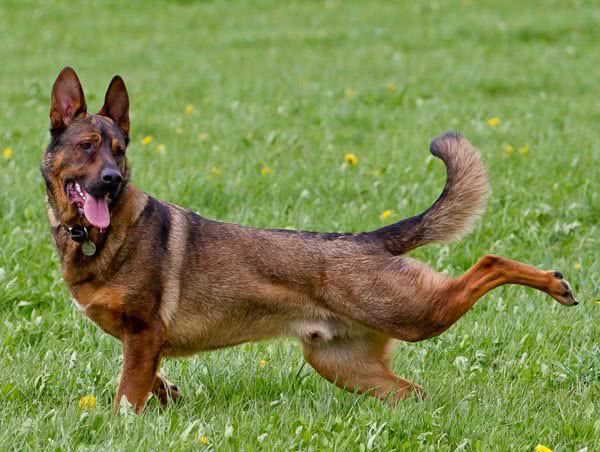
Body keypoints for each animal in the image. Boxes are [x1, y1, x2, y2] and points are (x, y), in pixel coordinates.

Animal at [41, 67, 578, 413]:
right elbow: (149, 381)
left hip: (413, 313)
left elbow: (125, 398)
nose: (112, 180)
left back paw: (555, 284)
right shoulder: (143, 344)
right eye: (87, 147)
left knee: (487, 261)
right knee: (415, 393)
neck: (98, 237)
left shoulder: (144, 334)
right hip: (345, 365)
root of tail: (370, 240)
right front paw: (167, 395)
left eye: (118, 150)